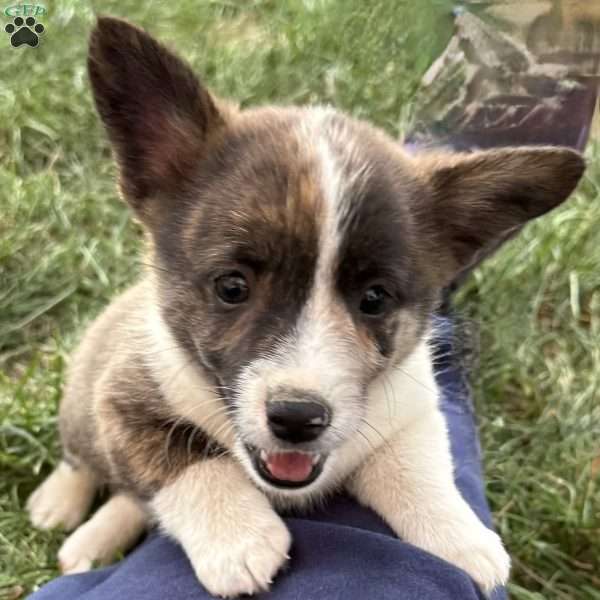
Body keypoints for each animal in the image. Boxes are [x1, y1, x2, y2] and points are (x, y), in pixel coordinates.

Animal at [25, 16, 584, 596]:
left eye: (374, 299)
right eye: (232, 287)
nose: (297, 419)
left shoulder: (411, 407)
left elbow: (417, 468)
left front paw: (460, 536)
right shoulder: (122, 401)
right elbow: (185, 464)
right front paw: (238, 540)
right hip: (82, 400)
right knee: (87, 462)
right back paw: (62, 509)